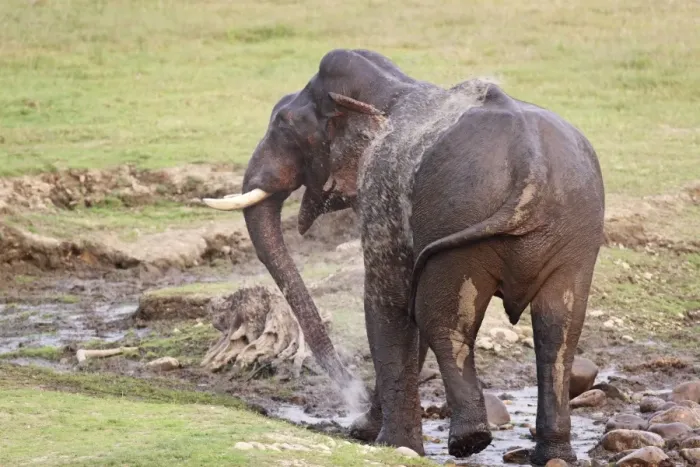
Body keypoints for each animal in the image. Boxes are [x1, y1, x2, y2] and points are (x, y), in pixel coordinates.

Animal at [202, 49, 605, 465]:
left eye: (283, 126)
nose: (352, 403)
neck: (392, 83)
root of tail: (533, 167)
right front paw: (369, 432)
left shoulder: (381, 191)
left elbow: (389, 301)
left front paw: (389, 443)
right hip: (574, 231)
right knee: (559, 326)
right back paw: (552, 454)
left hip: (460, 220)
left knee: (441, 318)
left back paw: (469, 442)